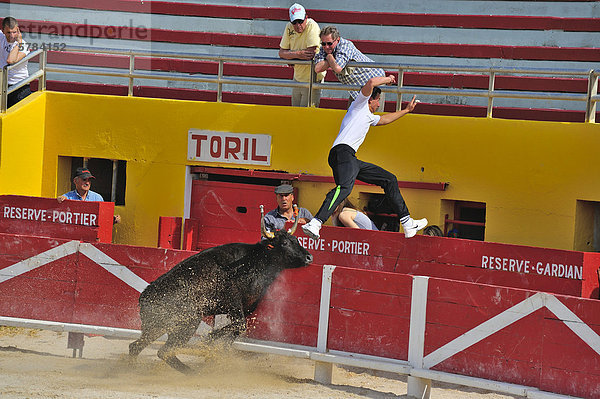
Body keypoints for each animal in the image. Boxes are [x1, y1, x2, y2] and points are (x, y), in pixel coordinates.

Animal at [128, 209, 312, 376]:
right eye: (285, 243)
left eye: (296, 240)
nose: (309, 257)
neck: (254, 261)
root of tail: (144, 297)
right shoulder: (234, 303)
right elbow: (239, 325)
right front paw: (209, 340)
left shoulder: (244, 308)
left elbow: (236, 331)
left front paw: (217, 350)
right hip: (188, 322)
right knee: (164, 351)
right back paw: (192, 372)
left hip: (156, 327)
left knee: (136, 346)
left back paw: (131, 369)